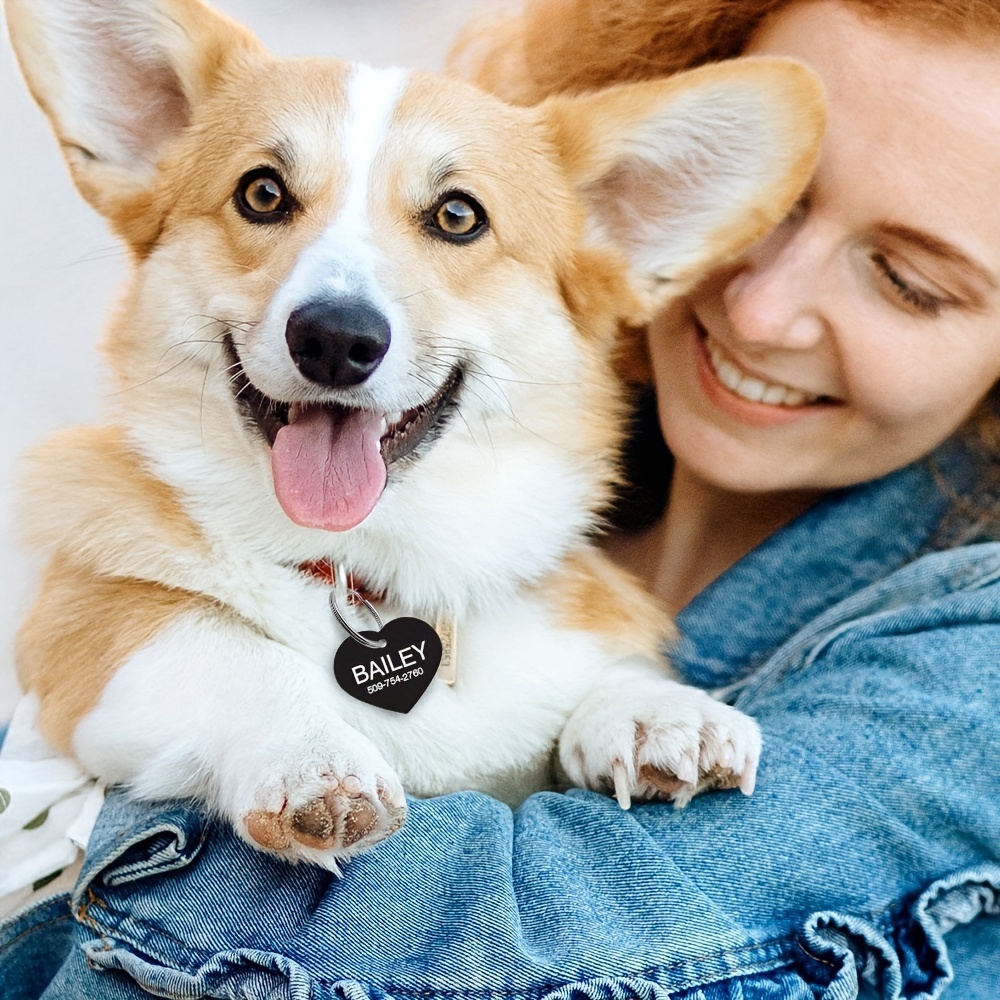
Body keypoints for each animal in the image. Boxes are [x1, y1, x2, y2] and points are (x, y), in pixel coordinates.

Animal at [3, 0, 824, 868]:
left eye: (459, 215)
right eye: (261, 193)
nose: (334, 337)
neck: (378, 566)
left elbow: (604, 666)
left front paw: (656, 710)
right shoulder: (83, 632)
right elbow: (220, 644)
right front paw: (311, 755)